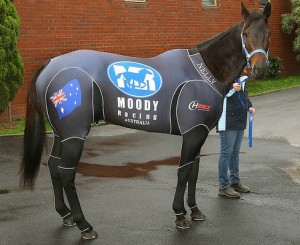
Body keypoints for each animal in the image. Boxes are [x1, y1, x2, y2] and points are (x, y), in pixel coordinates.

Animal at [19, 1, 270, 239]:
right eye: (246, 34)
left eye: (267, 34)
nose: (259, 69)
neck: (203, 72)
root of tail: (49, 65)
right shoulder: (193, 133)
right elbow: (183, 171)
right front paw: (180, 215)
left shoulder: (198, 134)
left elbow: (194, 171)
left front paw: (195, 210)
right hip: (75, 134)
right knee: (66, 172)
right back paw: (85, 225)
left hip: (62, 133)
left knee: (53, 165)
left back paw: (66, 215)